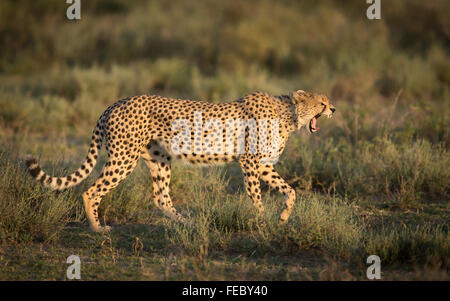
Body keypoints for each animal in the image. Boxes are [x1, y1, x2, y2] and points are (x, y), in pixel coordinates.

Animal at [24, 89, 334, 232]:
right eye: (321, 102)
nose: (333, 109)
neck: (288, 115)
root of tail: (115, 103)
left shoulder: (264, 165)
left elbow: (290, 191)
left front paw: (282, 217)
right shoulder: (249, 162)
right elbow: (256, 196)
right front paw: (260, 220)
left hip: (159, 159)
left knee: (161, 198)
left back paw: (188, 223)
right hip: (124, 158)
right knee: (91, 190)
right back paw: (98, 228)